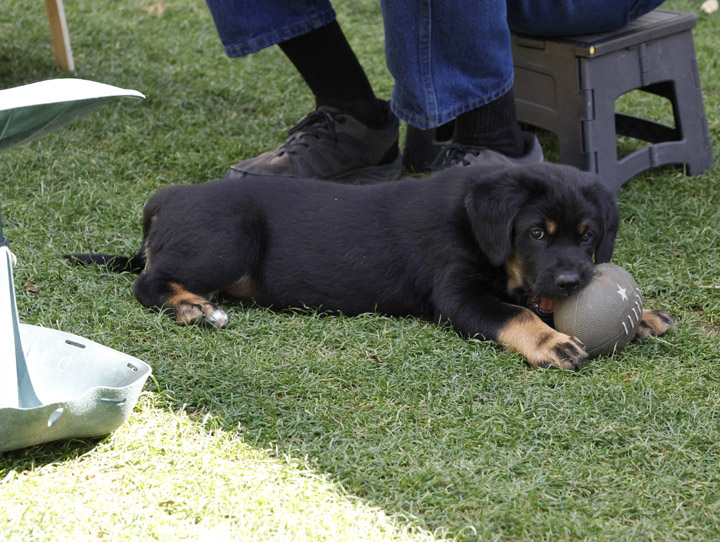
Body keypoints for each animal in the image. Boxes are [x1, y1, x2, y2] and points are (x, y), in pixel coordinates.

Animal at [67, 164, 676, 372]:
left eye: (588, 235)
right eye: (535, 233)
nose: (574, 282)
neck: (472, 222)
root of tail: (165, 198)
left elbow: (527, 302)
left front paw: (644, 318)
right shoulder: (458, 294)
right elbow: (516, 314)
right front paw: (553, 342)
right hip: (230, 237)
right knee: (148, 281)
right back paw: (192, 307)